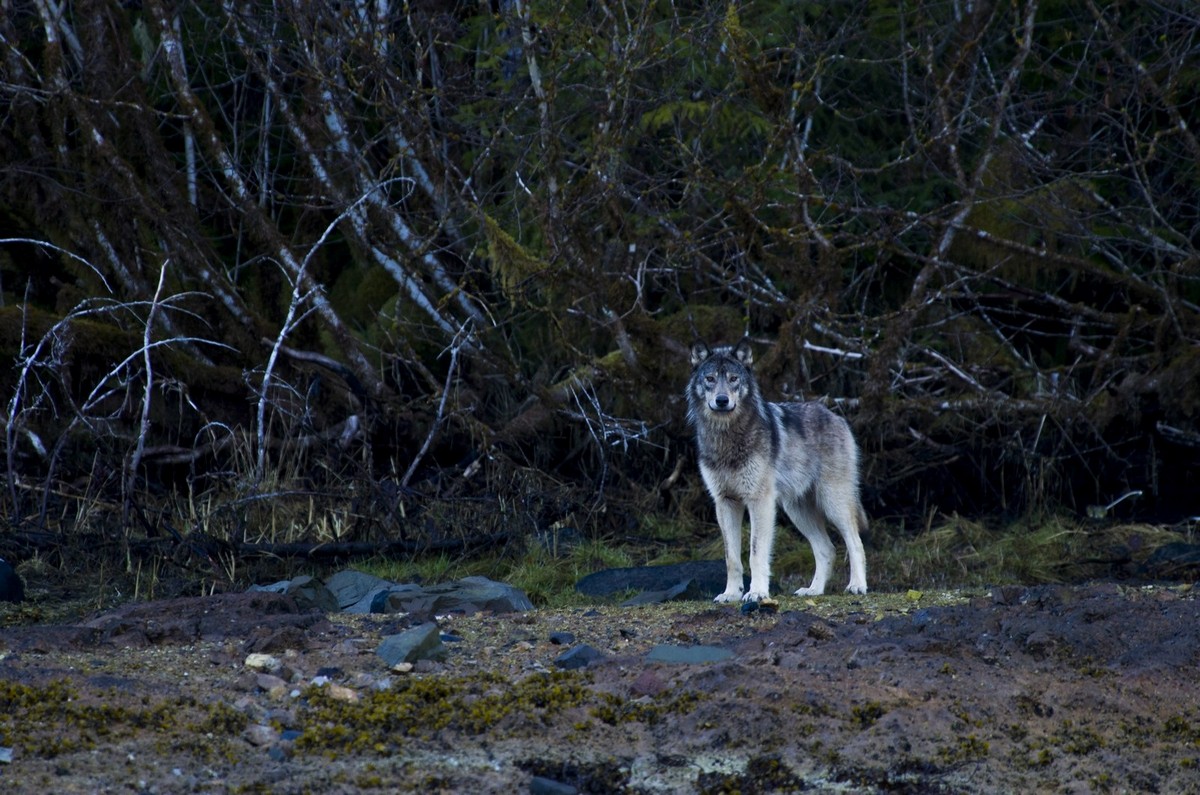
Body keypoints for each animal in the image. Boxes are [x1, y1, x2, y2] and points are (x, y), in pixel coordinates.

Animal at [691, 338, 868, 605]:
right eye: (710, 379)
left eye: (733, 379)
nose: (722, 400)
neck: (726, 437)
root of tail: (836, 417)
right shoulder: (725, 503)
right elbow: (731, 558)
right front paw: (731, 593)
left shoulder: (759, 502)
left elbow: (755, 554)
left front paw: (757, 592)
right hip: (797, 510)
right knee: (827, 549)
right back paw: (813, 590)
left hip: (832, 502)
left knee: (855, 542)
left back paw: (857, 586)